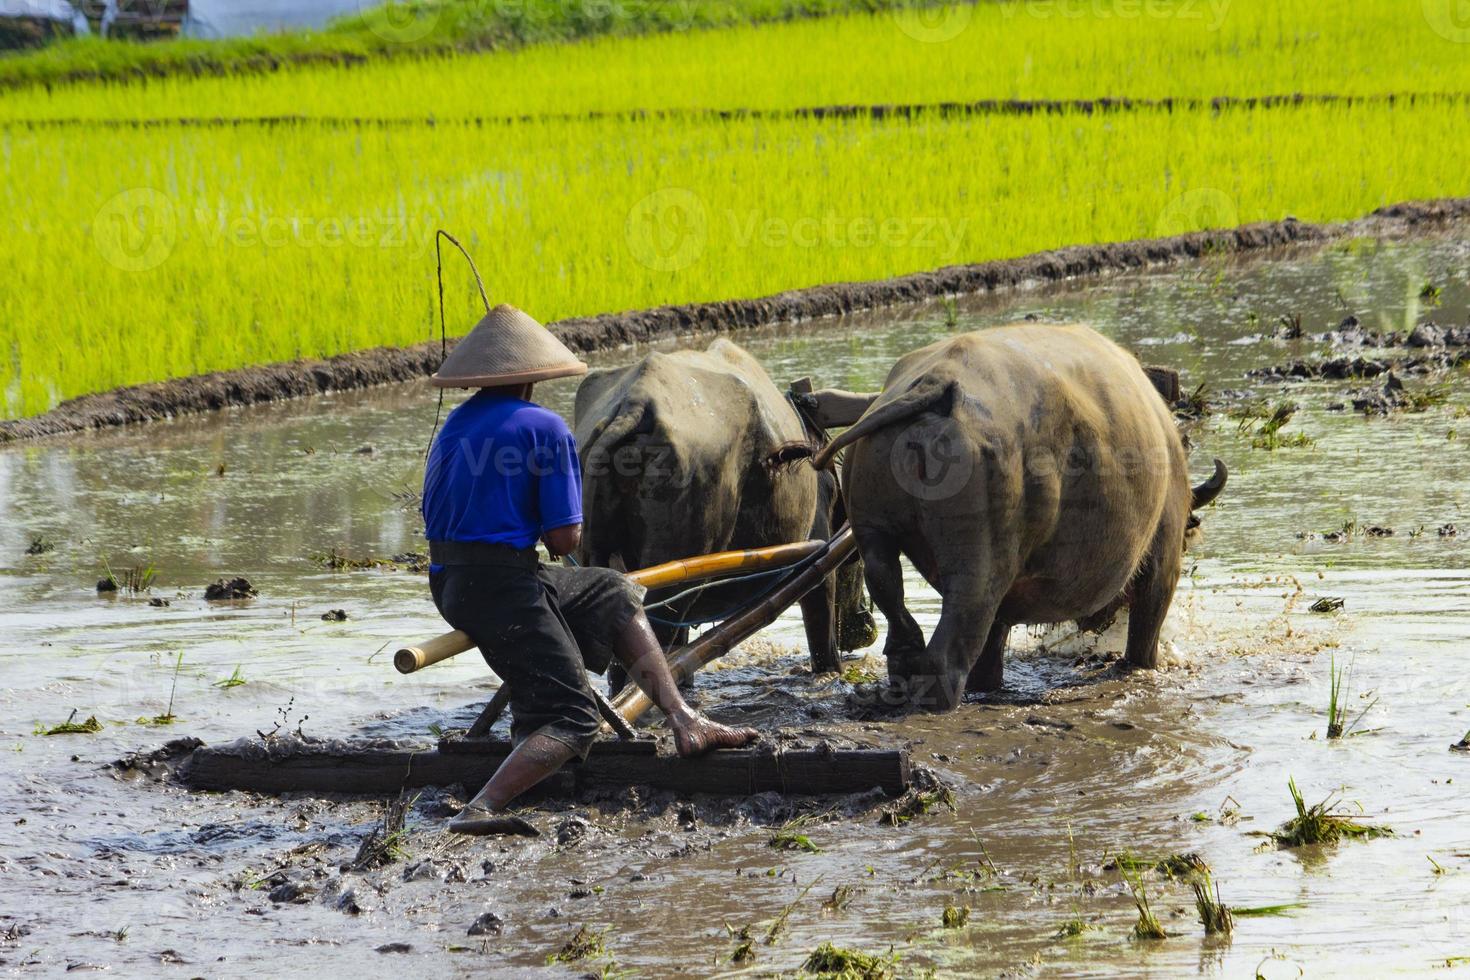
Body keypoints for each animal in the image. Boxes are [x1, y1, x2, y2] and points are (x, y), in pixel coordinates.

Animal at [787, 323, 1223, 714]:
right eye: (1188, 531)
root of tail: (933, 385)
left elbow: (994, 638)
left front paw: (988, 684)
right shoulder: (1164, 550)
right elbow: (1148, 623)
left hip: (873, 528)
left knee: (891, 594)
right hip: (979, 557)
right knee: (957, 633)